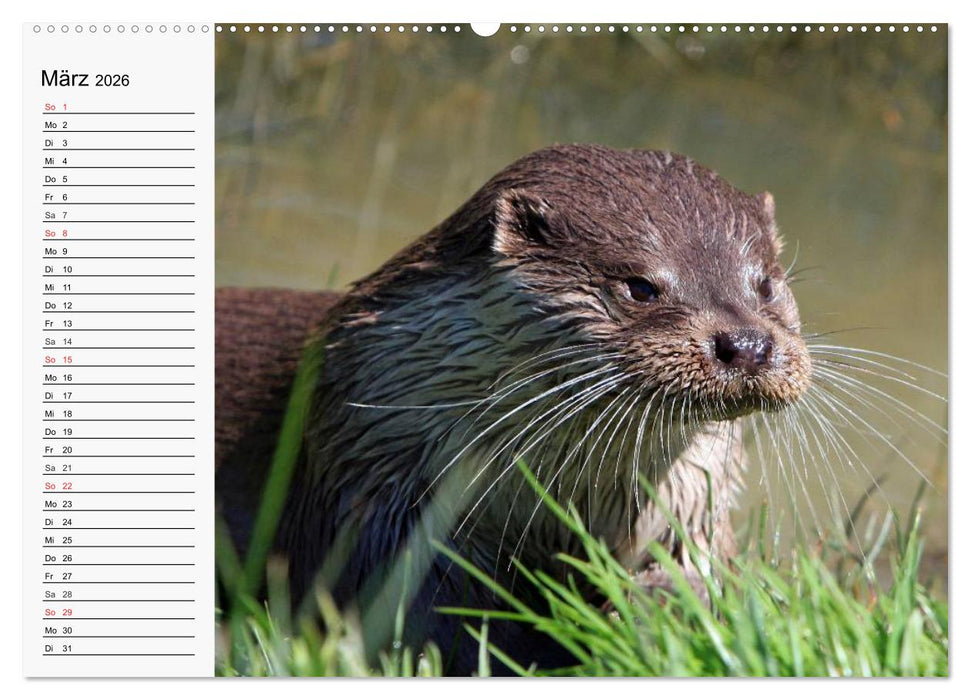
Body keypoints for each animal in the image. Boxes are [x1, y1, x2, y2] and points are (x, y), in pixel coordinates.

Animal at [215, 144, 811, 674]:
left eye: (765, 284)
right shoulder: (374, 492)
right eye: (641, 287)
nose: (748, 344)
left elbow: (703, 580)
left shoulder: (692, 501)